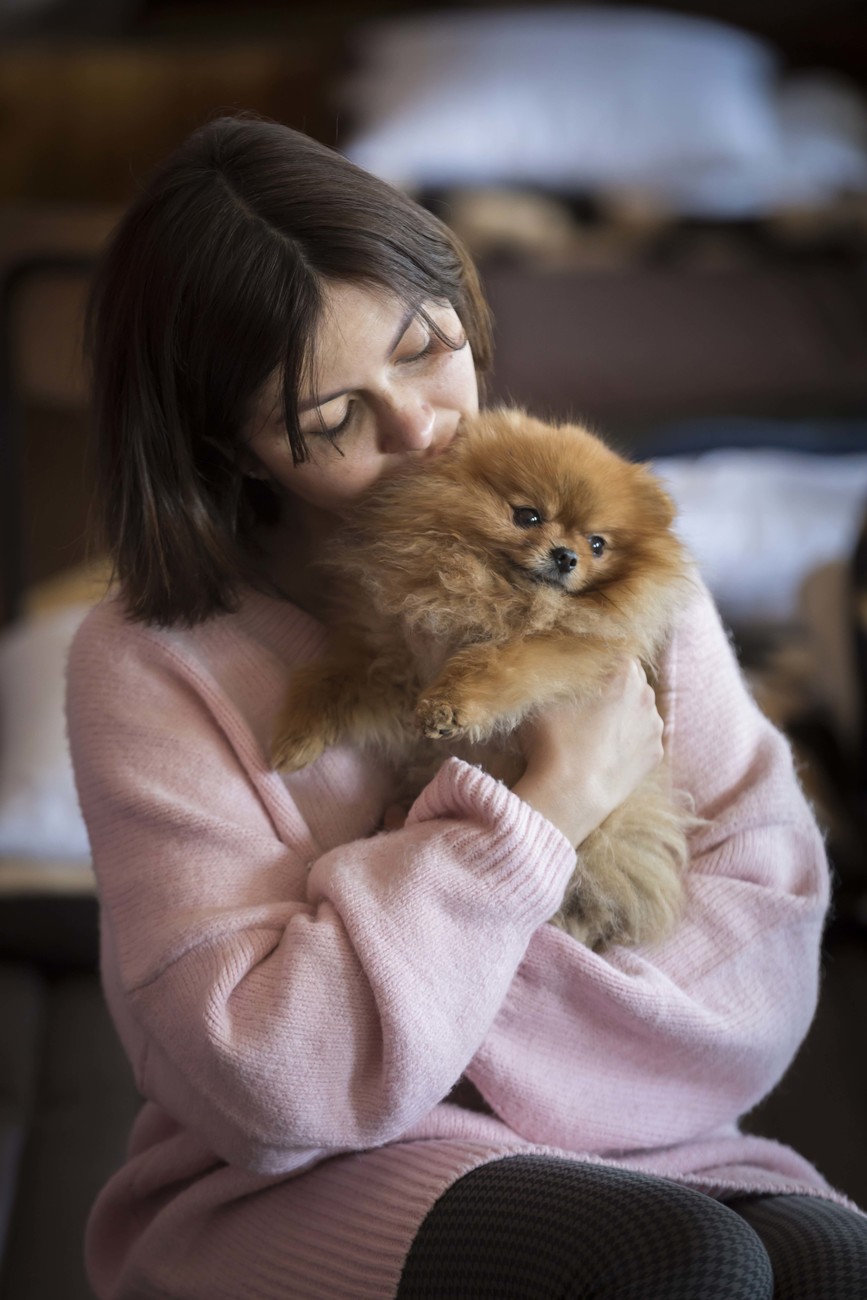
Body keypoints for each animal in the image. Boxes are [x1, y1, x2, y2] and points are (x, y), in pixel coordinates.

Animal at [271, 410, 696, 951]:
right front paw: (295, 738)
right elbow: (328, 678)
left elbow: (498, 661)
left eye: (598, 544)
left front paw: (449, 705)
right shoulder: (391, 661)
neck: (489, 591)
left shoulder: (563, 653)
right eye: (528, 516)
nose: (566, 555)